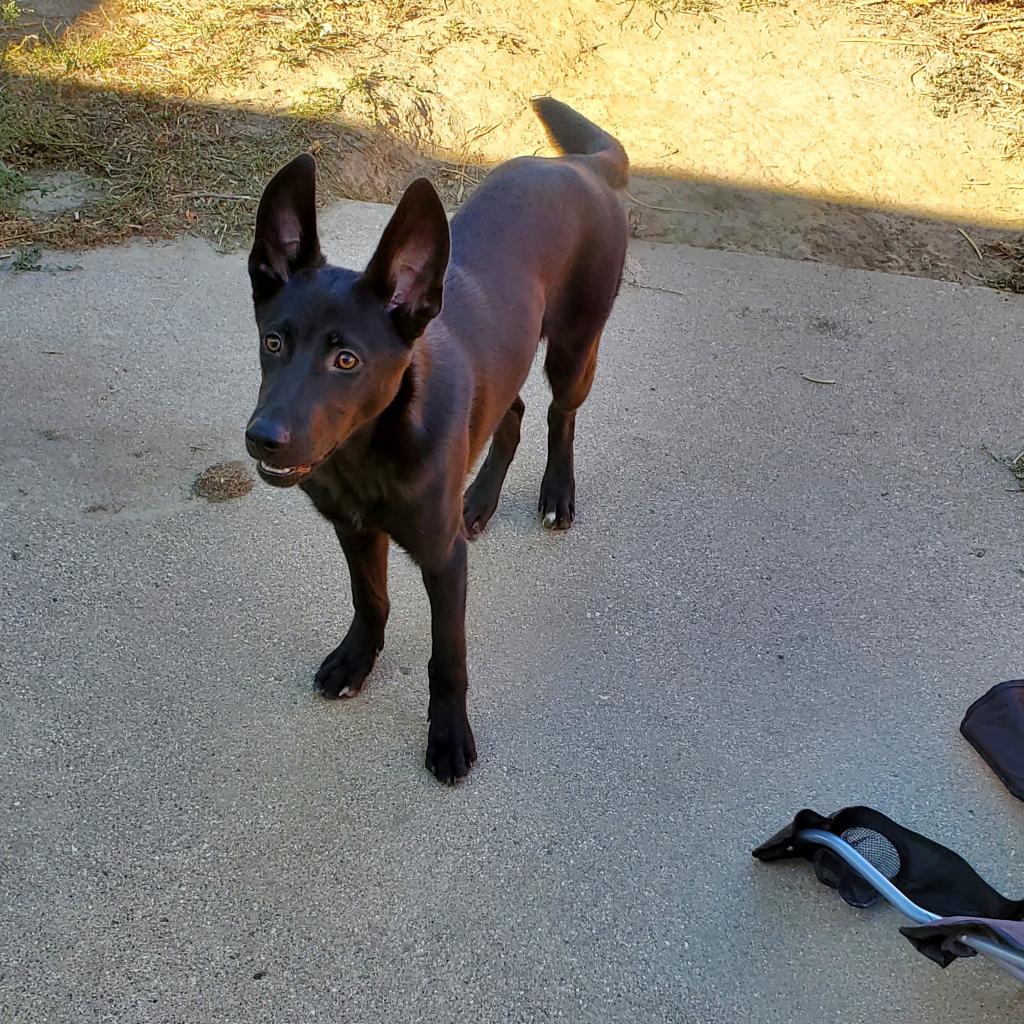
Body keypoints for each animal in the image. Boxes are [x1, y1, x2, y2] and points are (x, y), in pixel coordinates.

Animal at [244, 97, 626, 782]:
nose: (263, 440)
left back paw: (557, 494)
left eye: (346, 360)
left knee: (559, 415)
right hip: (508, 361)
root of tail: (581, 166)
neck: (368, 453)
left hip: (576, 344)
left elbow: (447, 657)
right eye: (273, 341)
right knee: (512, 412)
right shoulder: (354, 528)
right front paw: (356, 661)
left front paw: (447, 735)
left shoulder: (445, 561)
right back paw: (478, 501)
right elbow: (370, 601)